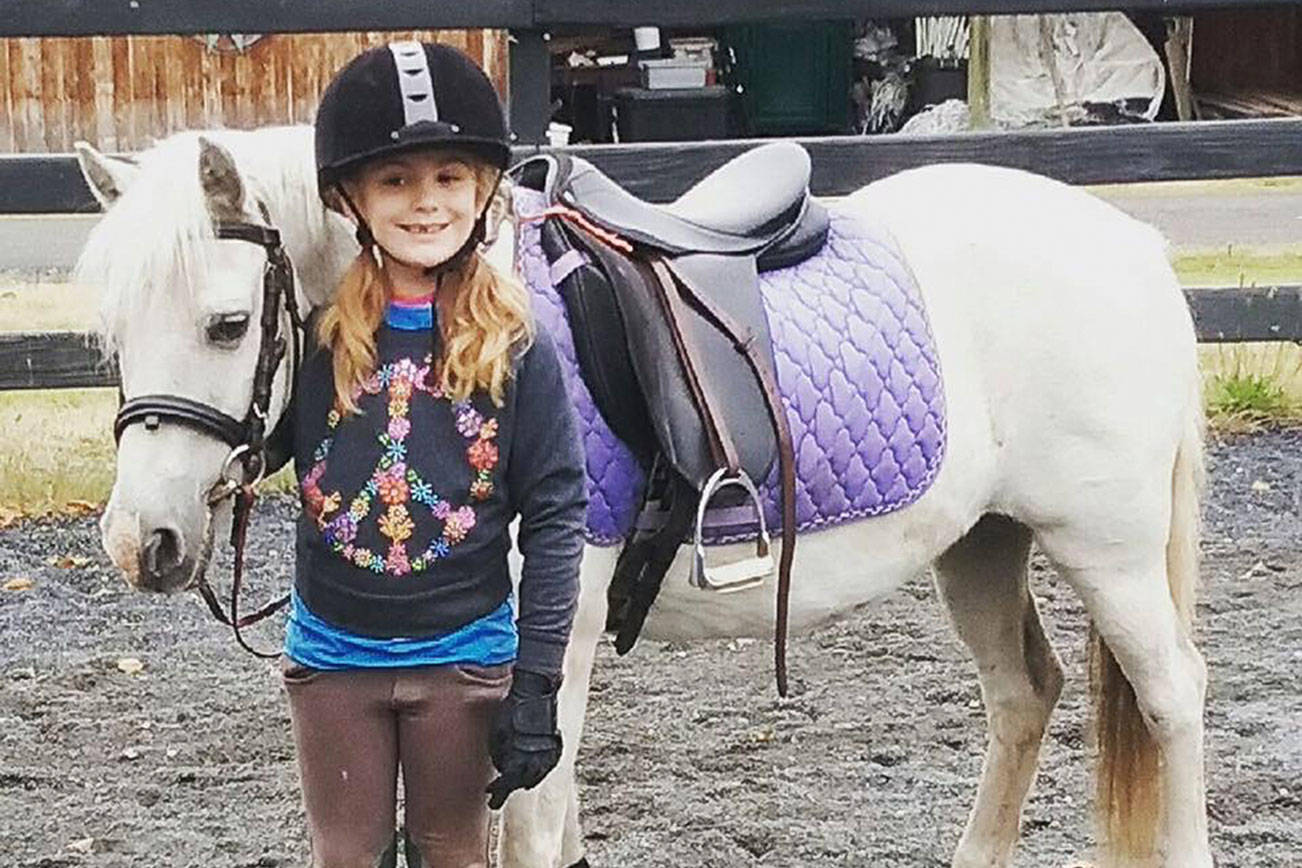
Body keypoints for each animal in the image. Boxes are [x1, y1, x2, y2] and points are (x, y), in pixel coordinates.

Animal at [74, 125, 1210, 867]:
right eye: (112, 333)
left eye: (227, 324)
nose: (142, 541)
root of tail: (1132, 245)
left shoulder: (551, 646)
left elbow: (527, 830)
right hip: (981, 542)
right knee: (1024, 695)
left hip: (1105, 550)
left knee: (1171, 695)